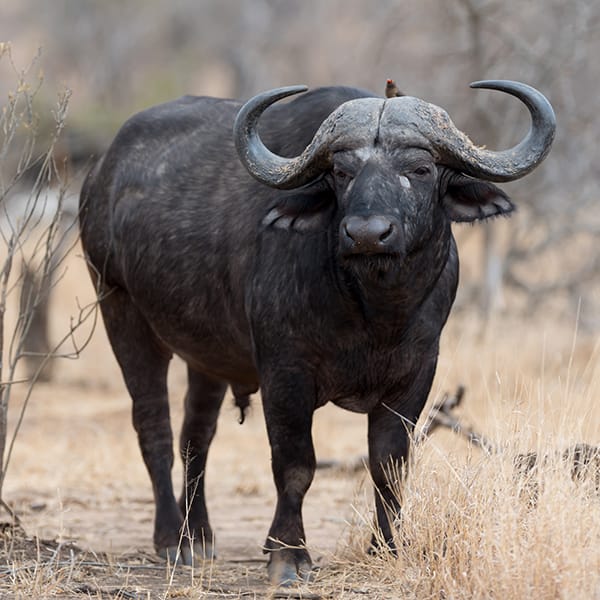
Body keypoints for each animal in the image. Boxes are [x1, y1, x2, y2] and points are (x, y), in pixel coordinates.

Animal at [78, 81, 552, 584]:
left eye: (421, 169)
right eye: (342, 172)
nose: (368, 233)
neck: (373, 309)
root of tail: (101, 174)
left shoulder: (416, 375)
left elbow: (389, 463)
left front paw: (388, 546)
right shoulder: (285, 374)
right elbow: (296, 465)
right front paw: (288, 554)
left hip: (207, 356)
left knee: (196, 436)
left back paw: (199, 535)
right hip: (120, 310)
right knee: (155, 428)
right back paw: (172, 539)